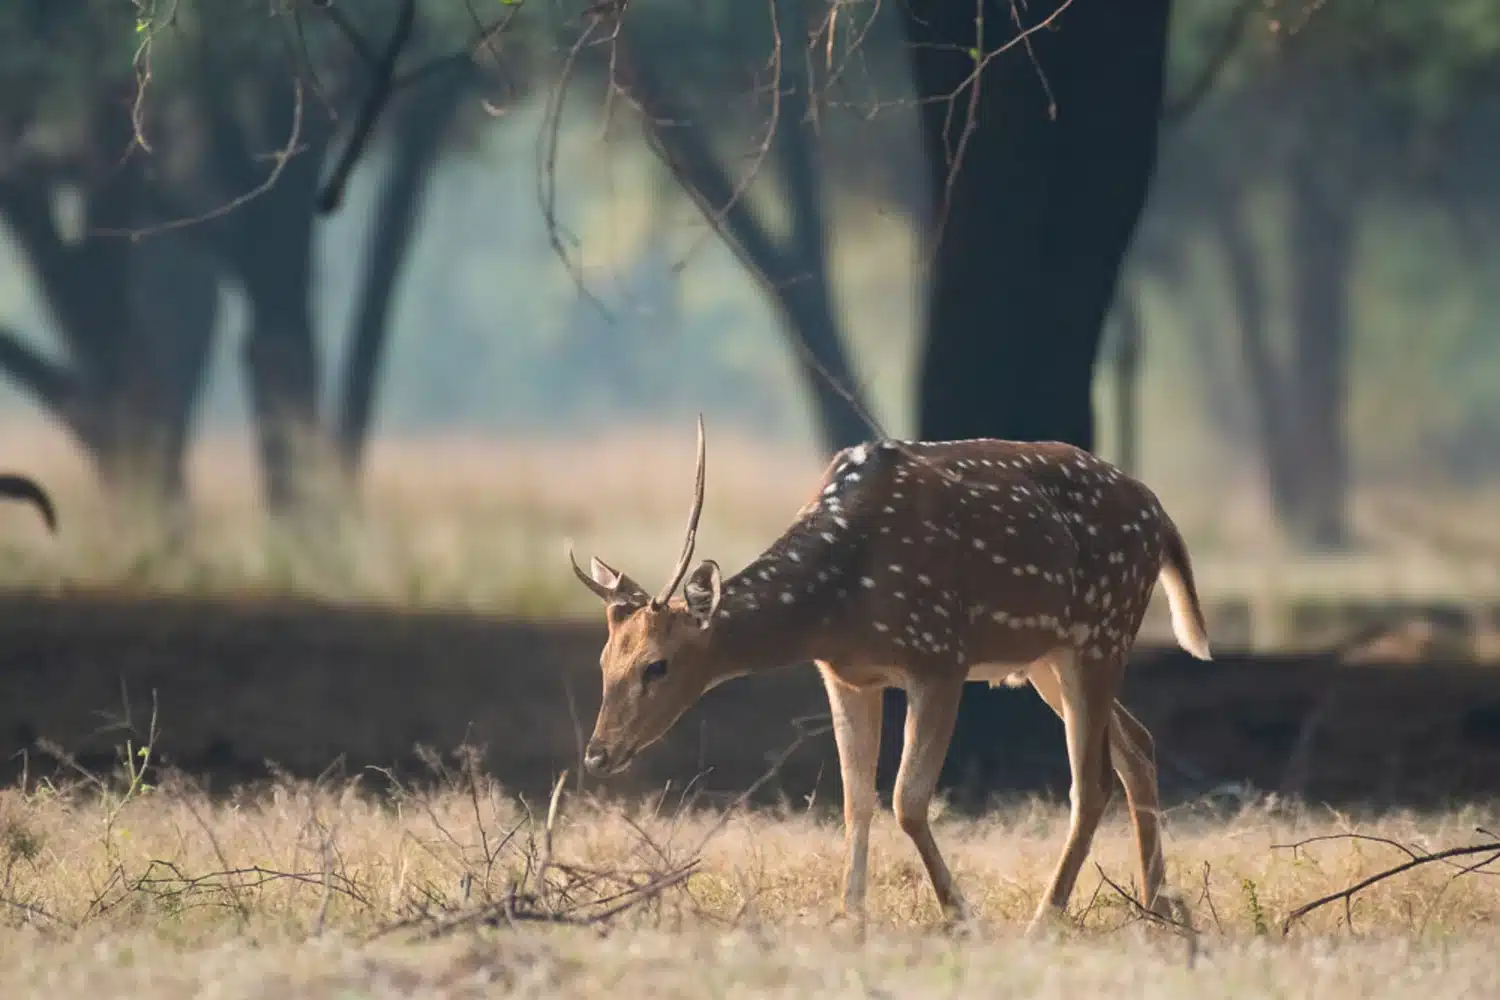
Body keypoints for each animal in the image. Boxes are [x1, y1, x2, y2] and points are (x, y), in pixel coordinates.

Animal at [567, 419, 1212, 935]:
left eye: (657, 665)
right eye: (603, 661)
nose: (597, 753)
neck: (839, 603)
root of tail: (1163, 516)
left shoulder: (940, 656)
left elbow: (907, 799)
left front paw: (960, 915)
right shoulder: (848, 675)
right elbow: (856, 799)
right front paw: (849, 916)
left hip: (1103, 629)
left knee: (1092, 781)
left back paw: (1045, 919)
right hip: (1046, 657)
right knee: (1137, 746)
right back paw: (1159, 907)